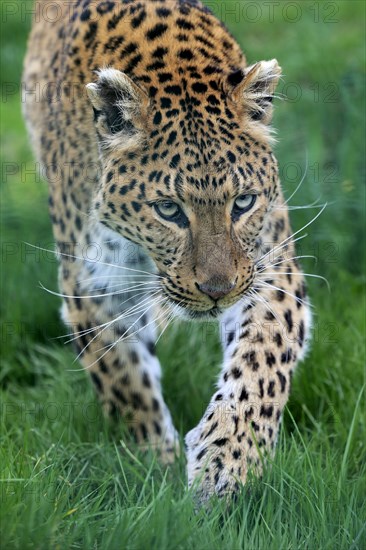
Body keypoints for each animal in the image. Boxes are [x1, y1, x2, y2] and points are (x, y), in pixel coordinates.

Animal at [23, 0, 312, 502]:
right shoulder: (93, 285)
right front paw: (154, 467)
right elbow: (126, 381)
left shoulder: (269, 269)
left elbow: (260, 363)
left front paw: (227, 463)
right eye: (168, 210)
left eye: (243, 203)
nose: (217, 292)